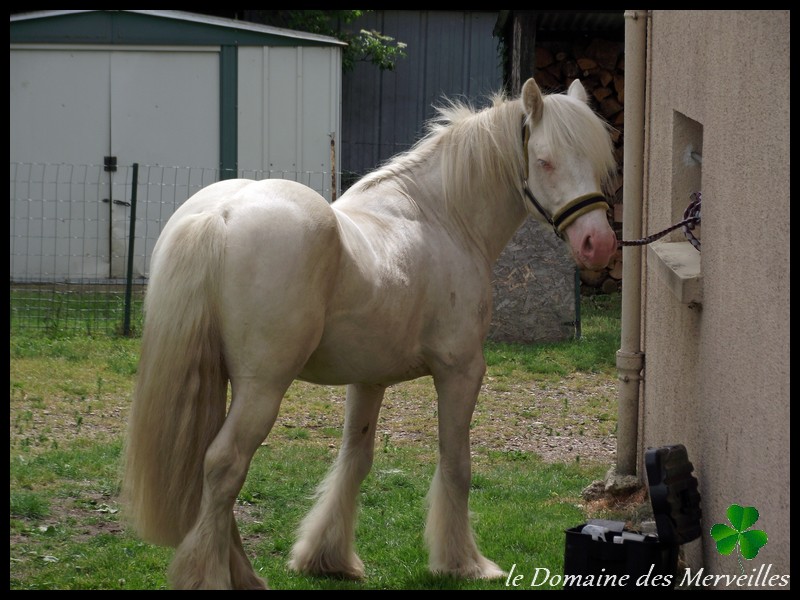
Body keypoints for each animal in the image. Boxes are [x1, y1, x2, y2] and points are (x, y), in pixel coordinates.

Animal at [120, 77, 620, 588]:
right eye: (545, 160)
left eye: (597, 160)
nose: (597, 244)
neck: (442, 217)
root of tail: (219, 214)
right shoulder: (460, 372)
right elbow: (456, 464)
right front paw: (463, 562)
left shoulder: (368, 380)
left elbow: (354, 461)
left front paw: (327, 558)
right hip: (262, 388)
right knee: (225, 465)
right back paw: (213, 576)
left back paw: (245, 574)